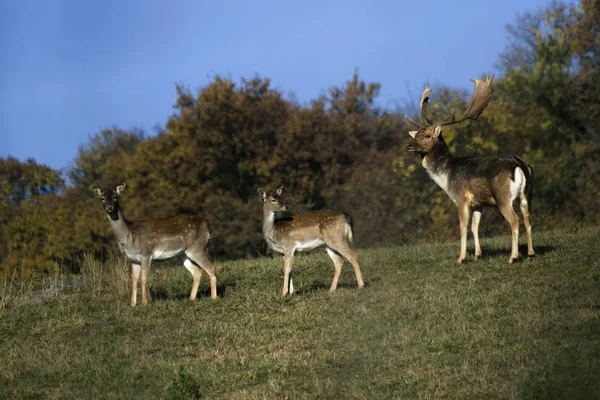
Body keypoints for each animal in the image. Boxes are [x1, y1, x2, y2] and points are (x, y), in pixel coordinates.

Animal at [406, 75, 536, 264]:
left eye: (428, 136)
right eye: (416, 134)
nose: (409, 145)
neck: (446, 176)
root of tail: (519, 166)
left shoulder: (461, 199)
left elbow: (463, 228)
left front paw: (461, 258)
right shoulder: (478, 203)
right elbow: (475, 227)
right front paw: (477, 255)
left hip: (503, 197)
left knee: (514, 221)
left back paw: (513, 257)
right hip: (526, 194)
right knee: (527, 217)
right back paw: (531, 252)